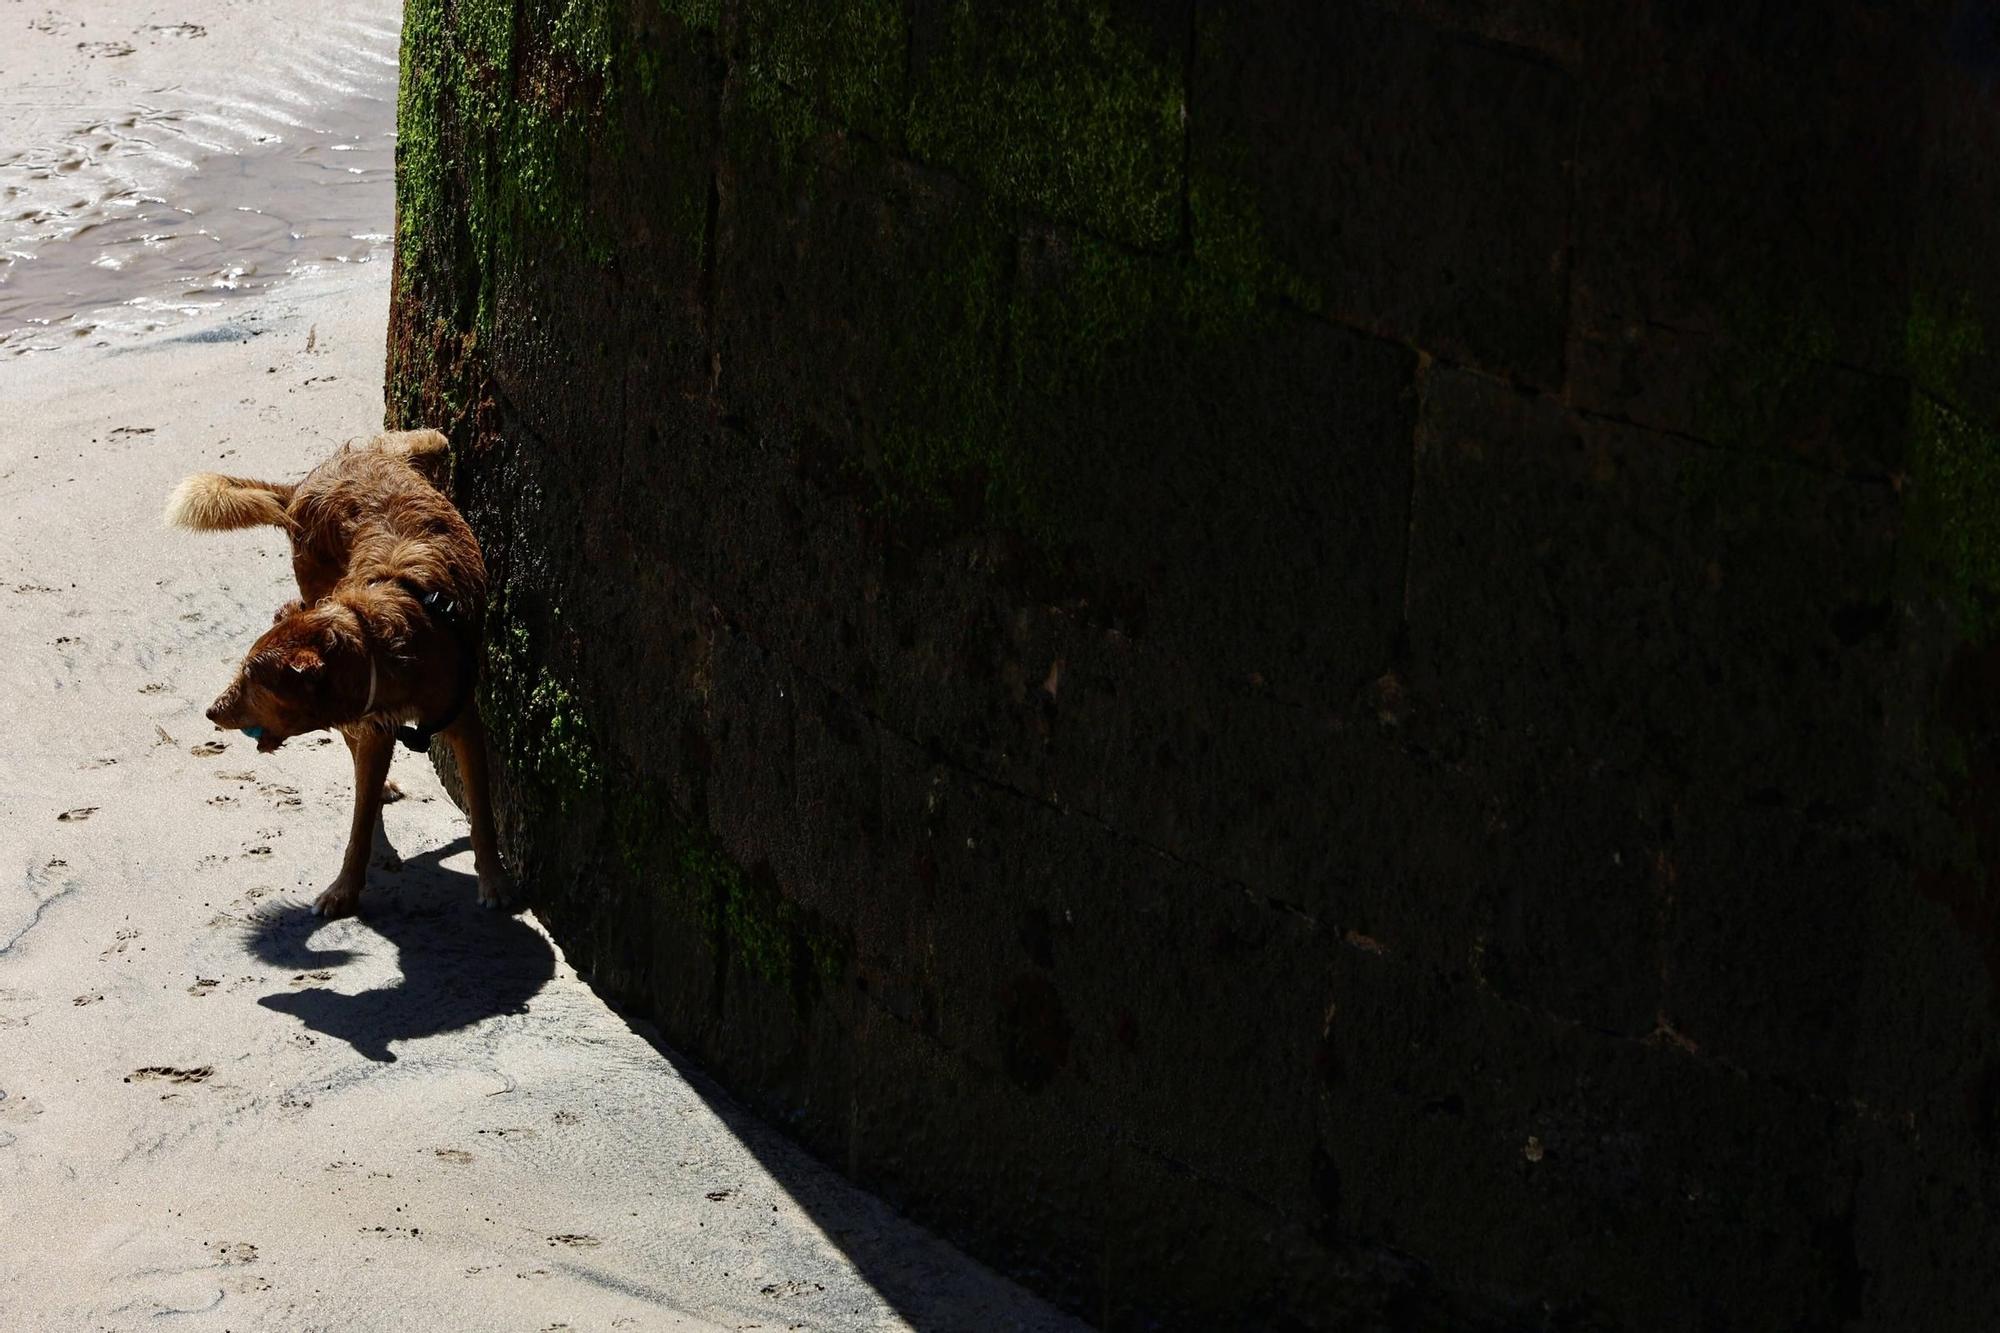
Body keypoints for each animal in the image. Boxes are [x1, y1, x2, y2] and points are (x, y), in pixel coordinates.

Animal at [165, 430, 512, 920]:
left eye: (252, 681)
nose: (212, 712)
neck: (381, 640)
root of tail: (303, 484)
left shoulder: (463, 721)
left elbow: (481, 810)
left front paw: (494, 879)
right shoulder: (376, 725)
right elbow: (360, 822)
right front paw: (345, 888)